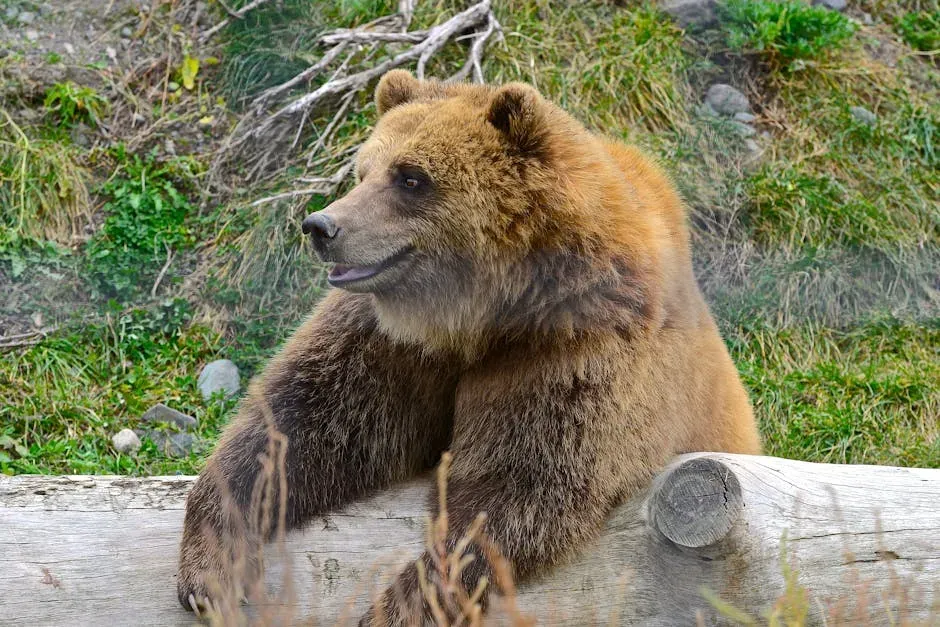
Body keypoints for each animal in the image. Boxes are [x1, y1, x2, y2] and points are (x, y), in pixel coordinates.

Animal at [177, 69, 762, 625]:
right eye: (363, 170)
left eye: (411, 177)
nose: (322, 225)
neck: (486, 315)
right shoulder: (393, 339)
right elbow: (307, 420)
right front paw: (211, 571)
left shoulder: (578, 351)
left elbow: (518, 486)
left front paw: (404, 604)